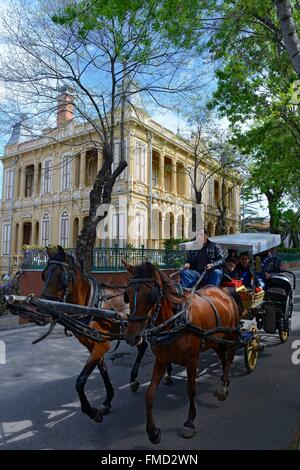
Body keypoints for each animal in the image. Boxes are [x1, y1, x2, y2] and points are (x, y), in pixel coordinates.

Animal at [39, 246, 171, 422]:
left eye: (63, 277)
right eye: (44, 275)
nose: (42, 309)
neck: (91, 305)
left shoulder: (101, 345)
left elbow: (80, 381)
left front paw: (92, 411)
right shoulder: (94, 345)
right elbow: (103, 372)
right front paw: (107, 400)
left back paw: (166, 372)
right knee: (143, 346)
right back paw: (135, 379)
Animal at [123, 262, 243, 442]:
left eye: (150, 295)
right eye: (127, 295)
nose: (132, 337)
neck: (174, 322)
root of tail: (223, 291)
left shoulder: (192, 360)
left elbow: (191, 390)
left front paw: (189, 422)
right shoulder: (161, 359)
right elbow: (149, 394)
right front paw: (152, 432)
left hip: (232, 334)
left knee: (230, 356)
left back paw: (223, 387)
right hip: (214, 339)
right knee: (222, 357)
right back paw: (225, 380)